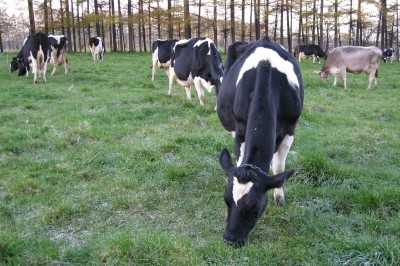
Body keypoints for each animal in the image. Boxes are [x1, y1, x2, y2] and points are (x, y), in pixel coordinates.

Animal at [217, 35, 304, 247]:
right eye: (226, 200)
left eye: (254, 207)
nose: (231, 240)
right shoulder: (240, 129)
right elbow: (239, 159)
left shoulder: (290, 128)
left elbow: (279, 167)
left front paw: (279, 197)